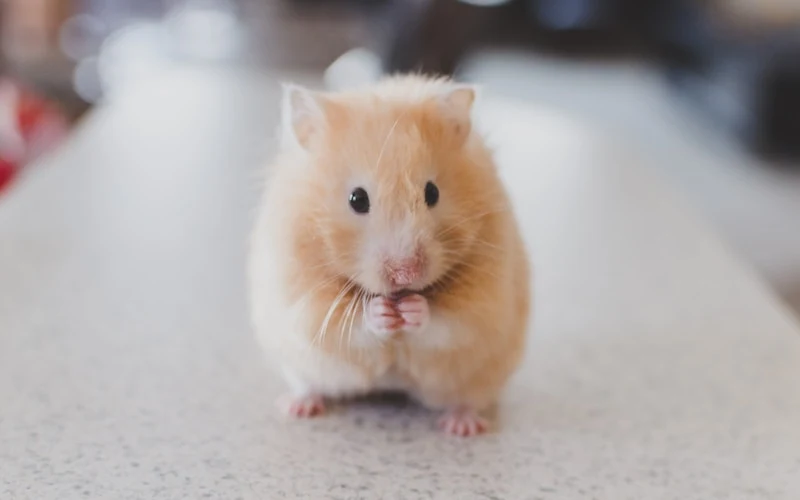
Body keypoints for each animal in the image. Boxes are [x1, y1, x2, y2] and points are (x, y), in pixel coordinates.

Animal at [248, 75, 531, 437]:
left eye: (432, 193)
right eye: (357, 199)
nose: (405, 274)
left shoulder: (484, 302)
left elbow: (447, 322)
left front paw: (413, 309)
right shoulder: (303, 299)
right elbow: (348, 324)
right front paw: (382, 312)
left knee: (467, 399)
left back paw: (462, 426)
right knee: (308, 385)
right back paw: (297, 407)